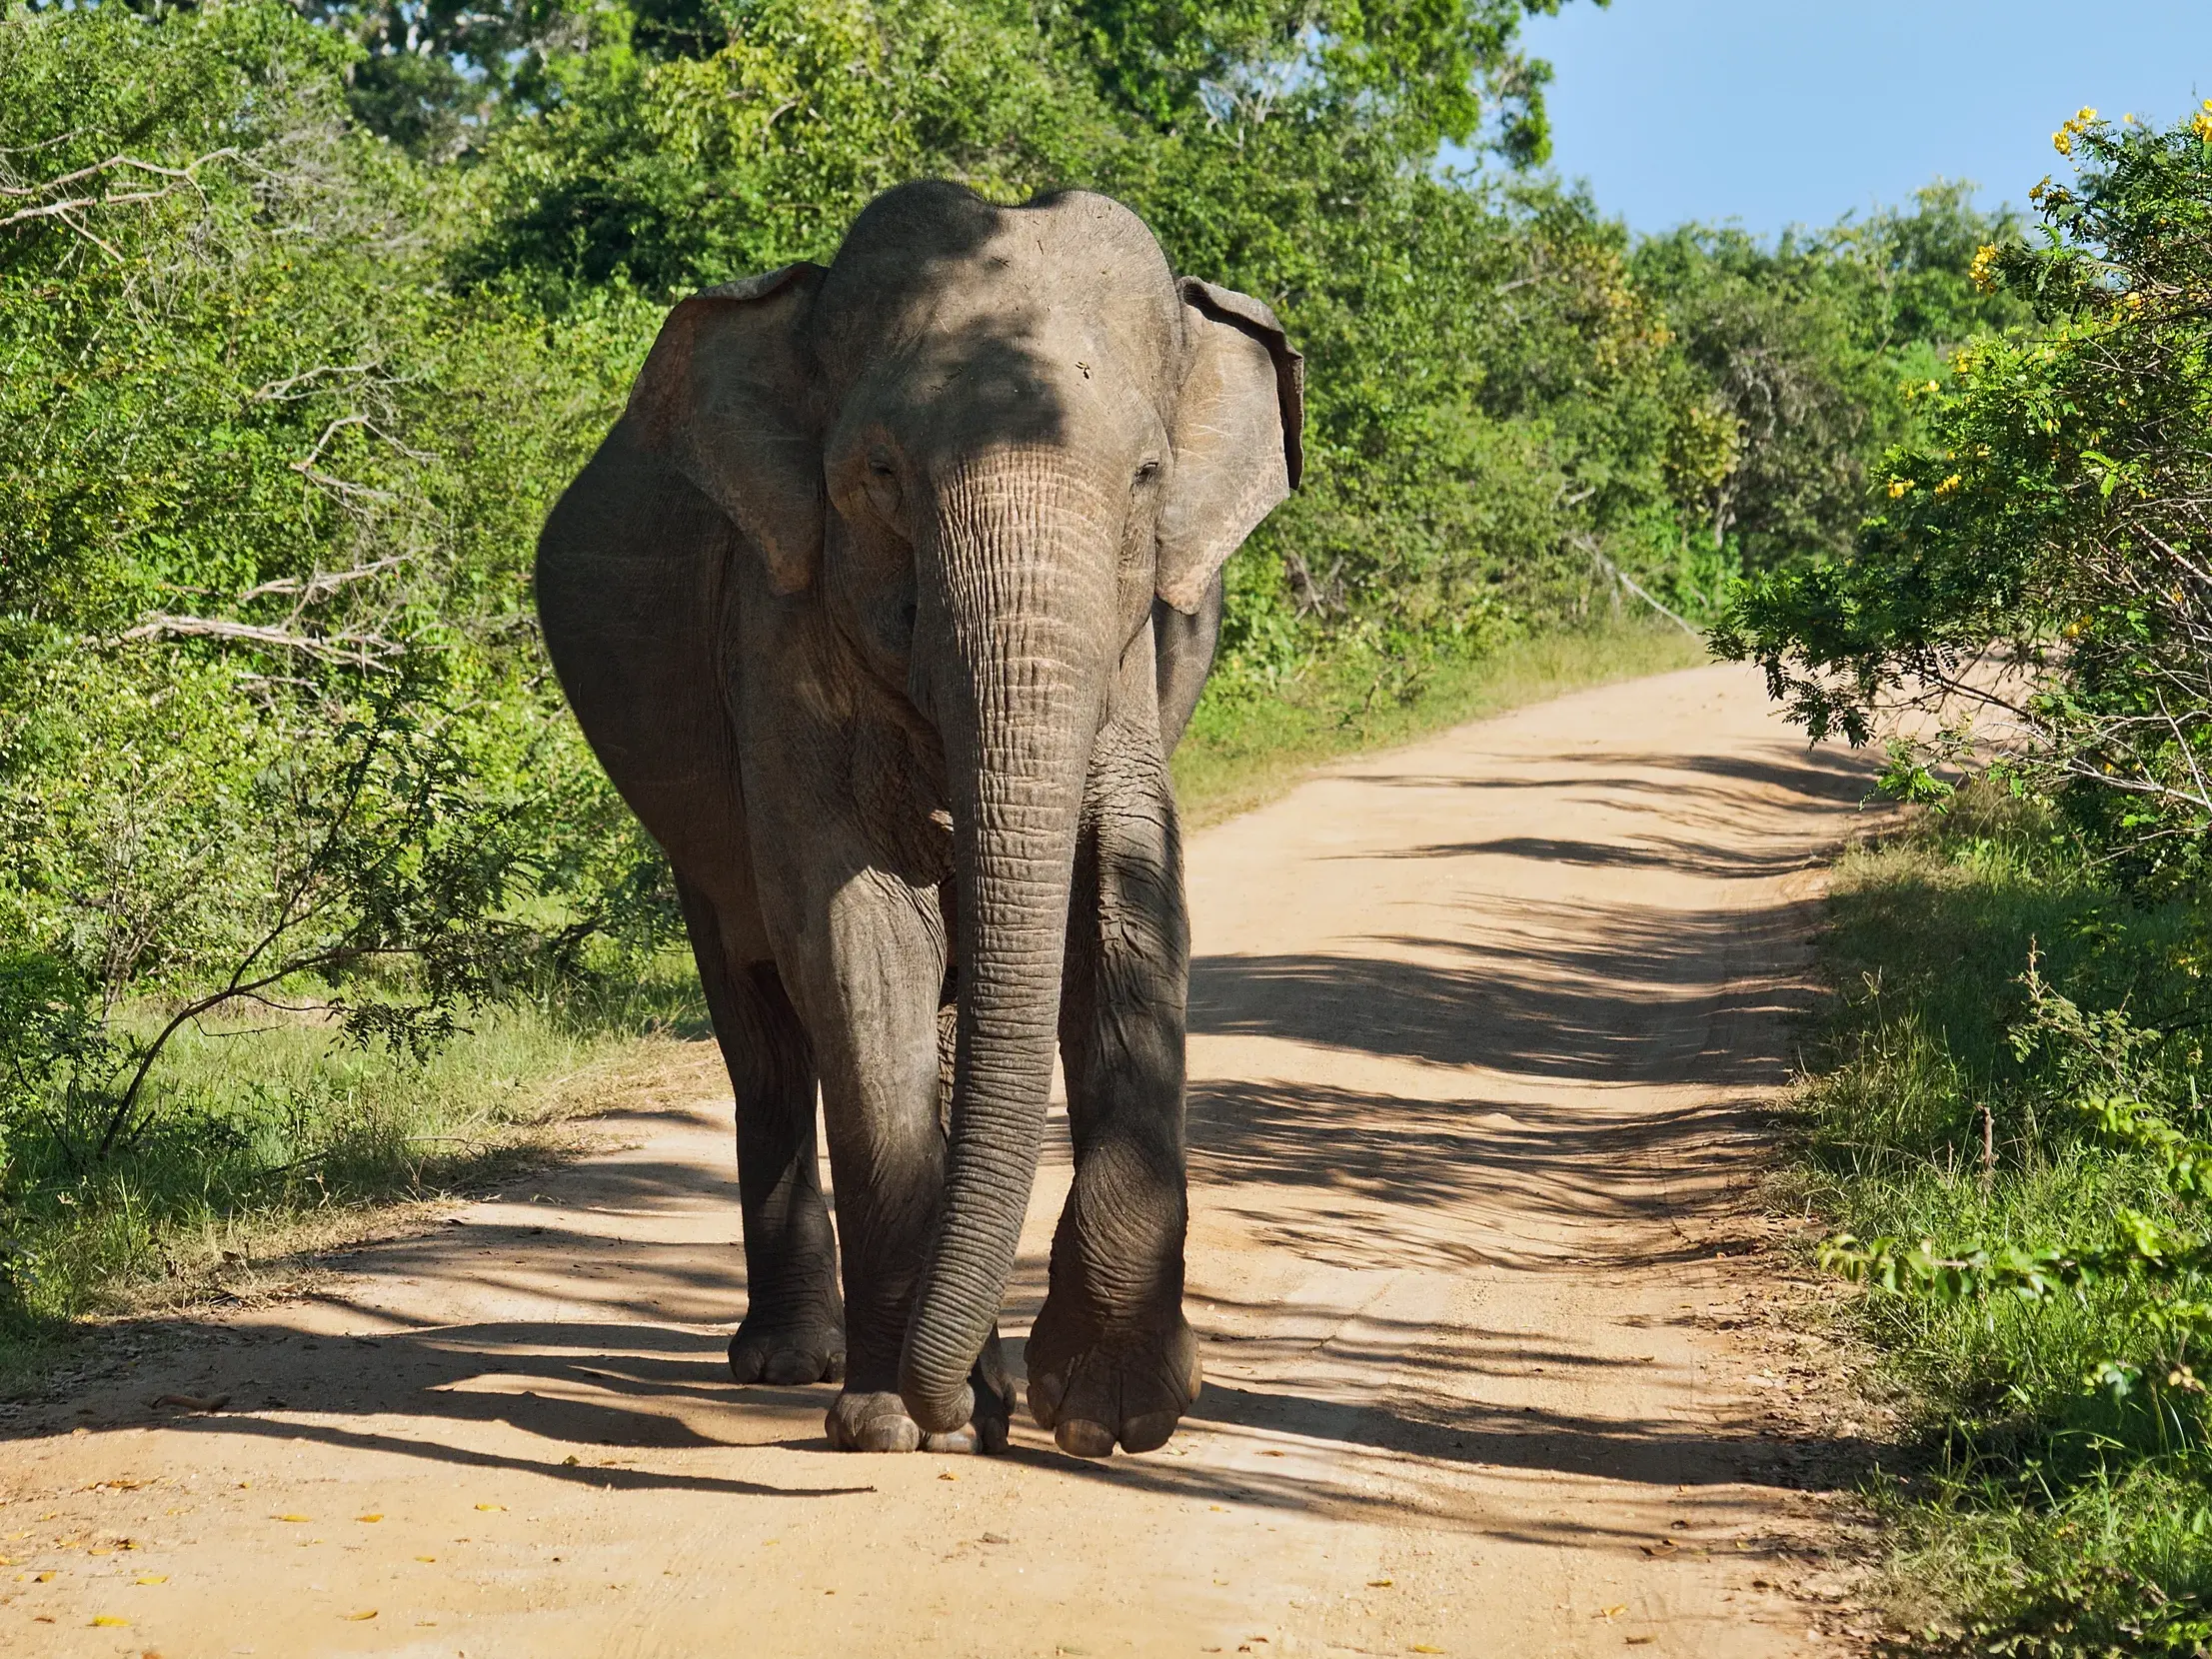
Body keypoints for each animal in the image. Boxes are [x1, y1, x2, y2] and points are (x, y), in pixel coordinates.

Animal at [535, 180, 1302, 1459]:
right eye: (881, 471)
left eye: (1148, 475)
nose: (976, 1408)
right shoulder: (777, 612)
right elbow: (859, 934)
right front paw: (906, 1421)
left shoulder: (1133, 648)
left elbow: (1126, 887)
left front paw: (1107, 1419)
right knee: (760, 1018)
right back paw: (791, 1360)